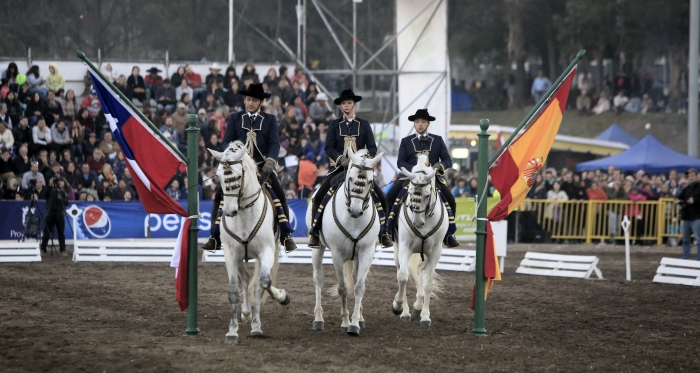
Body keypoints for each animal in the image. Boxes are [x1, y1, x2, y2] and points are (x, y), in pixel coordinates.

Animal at [212, 142, 292, 342]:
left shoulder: (266, 252)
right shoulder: (230, 254)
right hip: (240, 256)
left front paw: (282, 297)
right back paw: (246, 313)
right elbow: (233, 291)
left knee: (256, 283)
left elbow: (263, 283)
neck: (243, 216)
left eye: (238, 176)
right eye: (218, 176)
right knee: (246, 277)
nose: (229, 212)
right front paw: (232, 330)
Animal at [304, 147, 386, 334]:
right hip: (318, 248)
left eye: (370, 181)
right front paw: (345, 322)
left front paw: (355, 323)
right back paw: (318, 319)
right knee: (318, 278)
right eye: (350, 178)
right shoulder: (337, 254)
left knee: (354, 278)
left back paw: (360, 318)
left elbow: (359, 287)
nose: (355, 210)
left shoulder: (366, 252)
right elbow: (342, 289)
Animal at [388, 154, 448, 326]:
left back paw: (418, 305)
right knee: (403, 271)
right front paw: (398, 307)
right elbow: (402, 277)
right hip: (398, 250)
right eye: (410, 192)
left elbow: (428, 284)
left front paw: (425, 316)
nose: (417, 223)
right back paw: (406, 311)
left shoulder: (435, 252)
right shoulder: (405, 247)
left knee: (421, 270)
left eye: (427, 195)